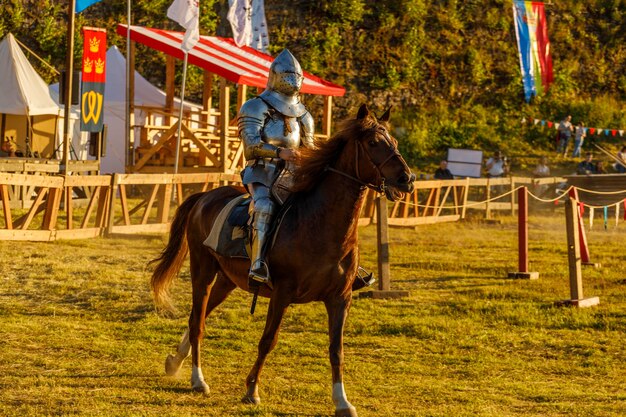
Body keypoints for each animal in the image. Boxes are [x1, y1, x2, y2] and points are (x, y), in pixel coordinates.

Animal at [150, 103, 414, 412]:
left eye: (393, 141)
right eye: (373, 142)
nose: (407, 179)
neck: (320, 225)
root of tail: (204, 197)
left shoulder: (340, 298)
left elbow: (336, 350)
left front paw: (342, 401)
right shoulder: (282, 294)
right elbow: (268, 340)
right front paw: (251, 389)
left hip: (226, 280)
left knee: (199, 316)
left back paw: (175, 362)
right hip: (202, 271)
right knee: (197, 323)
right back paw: (197, 379)